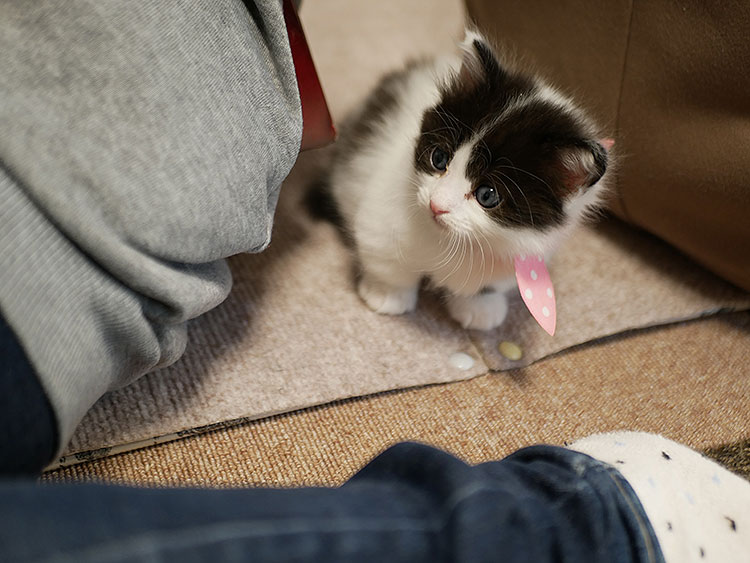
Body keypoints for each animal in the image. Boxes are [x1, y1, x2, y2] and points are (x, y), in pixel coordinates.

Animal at [328, 29, 612, 330]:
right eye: (439, 158)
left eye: (487, 195)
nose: (436, 205)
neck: (453, 242)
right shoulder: (381, 212)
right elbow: (387, 259)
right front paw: (386, 295)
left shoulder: (527, 250)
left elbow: (488, 285)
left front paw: (480, 307)